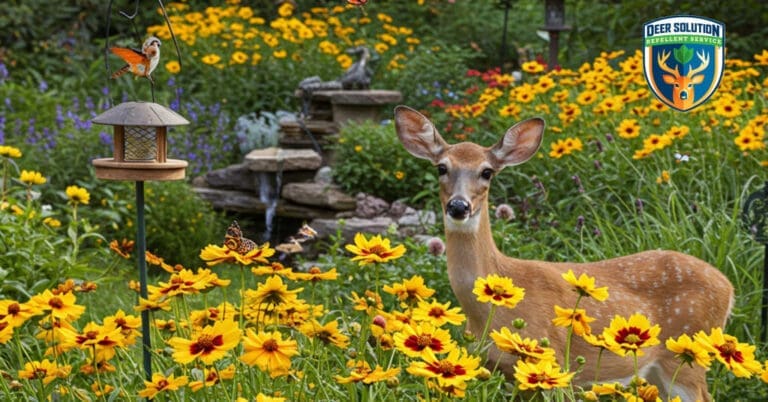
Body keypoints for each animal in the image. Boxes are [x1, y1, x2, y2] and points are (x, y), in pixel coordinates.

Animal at [393, 105, 734, 401]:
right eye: (442, 167)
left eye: (487, 172)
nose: (459, 206)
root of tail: (728, 287)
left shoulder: (555, 362)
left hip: (687, 354)